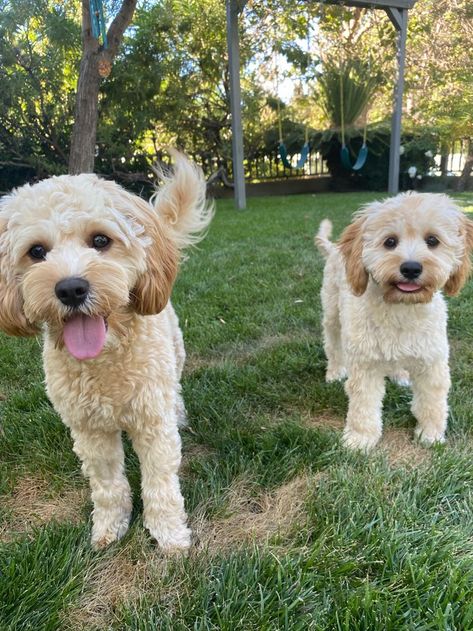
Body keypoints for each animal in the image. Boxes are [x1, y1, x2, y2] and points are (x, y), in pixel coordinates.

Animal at [0, 156, 212, 552]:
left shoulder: (151, 423)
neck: (104, 358)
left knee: (175, 388)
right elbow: (108, 485)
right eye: (36, 251)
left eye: (101, 240)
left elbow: (160, 484)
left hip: (174, 354)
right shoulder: (90, 431)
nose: (71, 288)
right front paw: (110, 528)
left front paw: (169, 534)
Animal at [316, 194, 473, 454]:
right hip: (332, 314)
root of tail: (335, 249)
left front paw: (430, 434)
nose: (411, 268)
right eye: (390, 241)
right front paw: (359, 439)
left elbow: (432, 402)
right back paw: (335, 372)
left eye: (432, 240)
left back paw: (400, 375)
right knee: (333, 344)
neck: (401, 308)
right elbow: (363, 407)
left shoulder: (433, 362)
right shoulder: (365, 364)